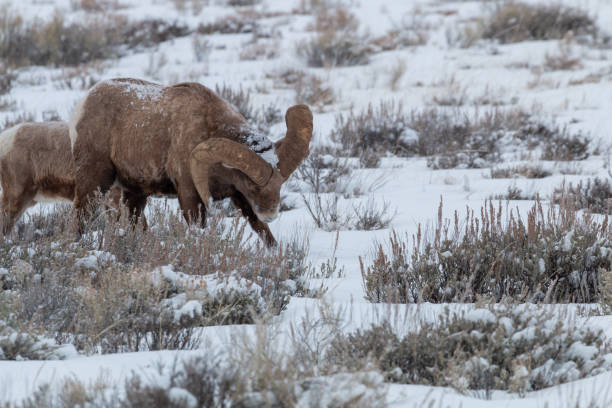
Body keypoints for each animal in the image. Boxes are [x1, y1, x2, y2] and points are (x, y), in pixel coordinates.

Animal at [69, 78, 314, 247]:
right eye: (252, 185)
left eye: (280, 185)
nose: (271, 215)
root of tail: (82, 106)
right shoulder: (190, 194)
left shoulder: (239, 197)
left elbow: (263, 232)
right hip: (94, 183)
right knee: (81, 218)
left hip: (135, 193)